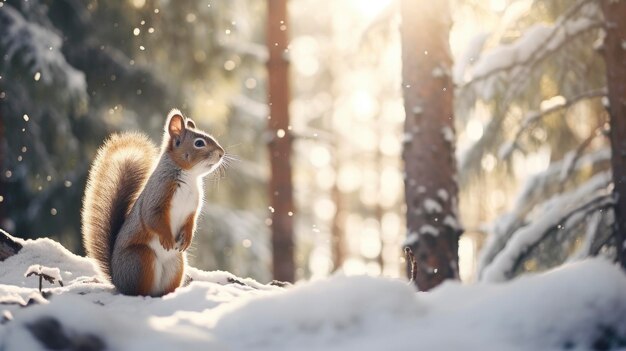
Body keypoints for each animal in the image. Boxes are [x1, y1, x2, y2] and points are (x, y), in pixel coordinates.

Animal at [81, 110, 224, 296]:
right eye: (199, 143)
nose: (221, 153)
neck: (189, 177)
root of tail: (117, 280)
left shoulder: (192, 209)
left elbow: (190, 222)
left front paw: (187, 239)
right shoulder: (157, 197)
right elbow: (152, 217)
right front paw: (168, 239)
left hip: (176, 264)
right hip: (141, 259)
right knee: (139, 289)